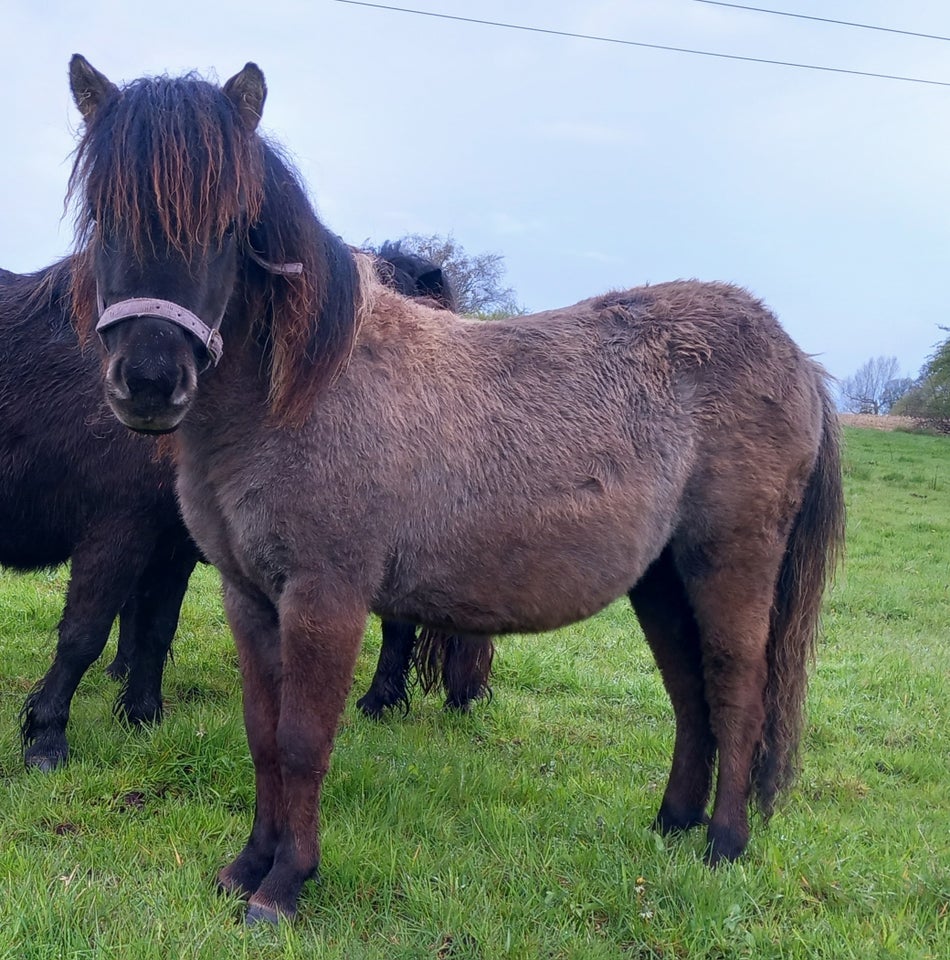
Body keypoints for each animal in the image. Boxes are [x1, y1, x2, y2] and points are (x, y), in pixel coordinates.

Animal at [0, 262, 199, 772]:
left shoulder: (173, 547)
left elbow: (156, 630)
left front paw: (143, 716)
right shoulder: (116, 531)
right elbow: (83, 636)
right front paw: (46, 738)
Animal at [63, 58, 844, 924]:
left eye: (231, 223)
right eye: (102, 212)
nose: (149, 380)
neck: (300, 394)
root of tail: (795, 356)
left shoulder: (325, 599)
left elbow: (303, 741)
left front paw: (285, 885)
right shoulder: (250, 596)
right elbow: (263, 735)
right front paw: (246, 867)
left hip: (727, 567)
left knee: (736, 693)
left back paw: (723, 844)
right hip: (662, 581)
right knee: (688, 695)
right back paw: (672, 825)